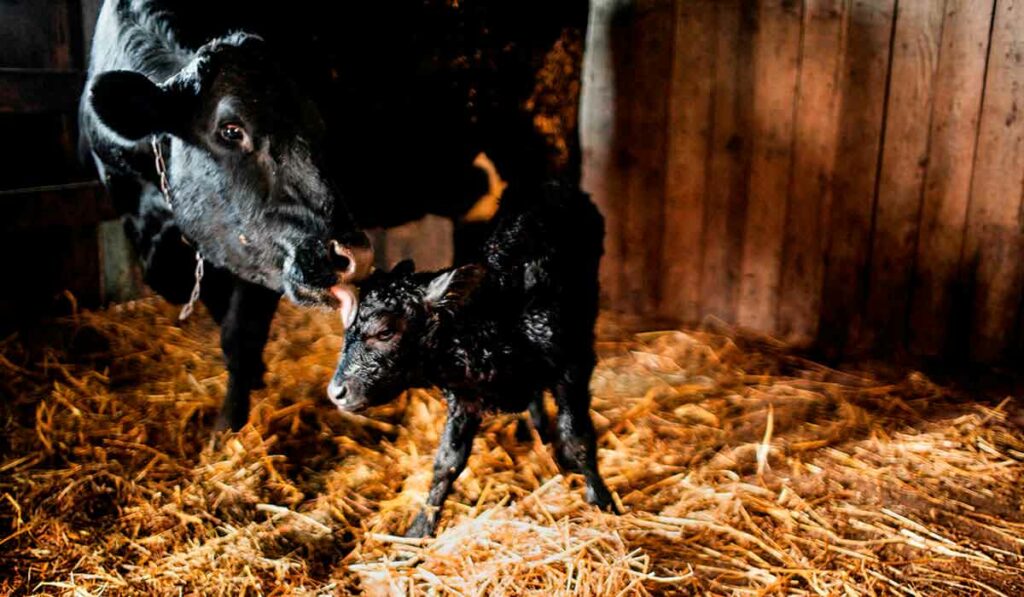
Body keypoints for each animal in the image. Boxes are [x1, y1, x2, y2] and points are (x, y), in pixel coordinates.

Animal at [77, 0, 593, 430]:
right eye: (230, 128)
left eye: (319, 125)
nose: (353, 254)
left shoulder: (258, 252)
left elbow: (238, 335)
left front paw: (228, 428)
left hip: (546, 128)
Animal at [327, 182, 614, 536]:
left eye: (384, 331)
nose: (336, 392)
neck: (498, 315)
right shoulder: (463, 395)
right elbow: (448, 460)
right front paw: (420, 528)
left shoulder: (573, 367)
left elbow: (579, 438)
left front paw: (602, 502)